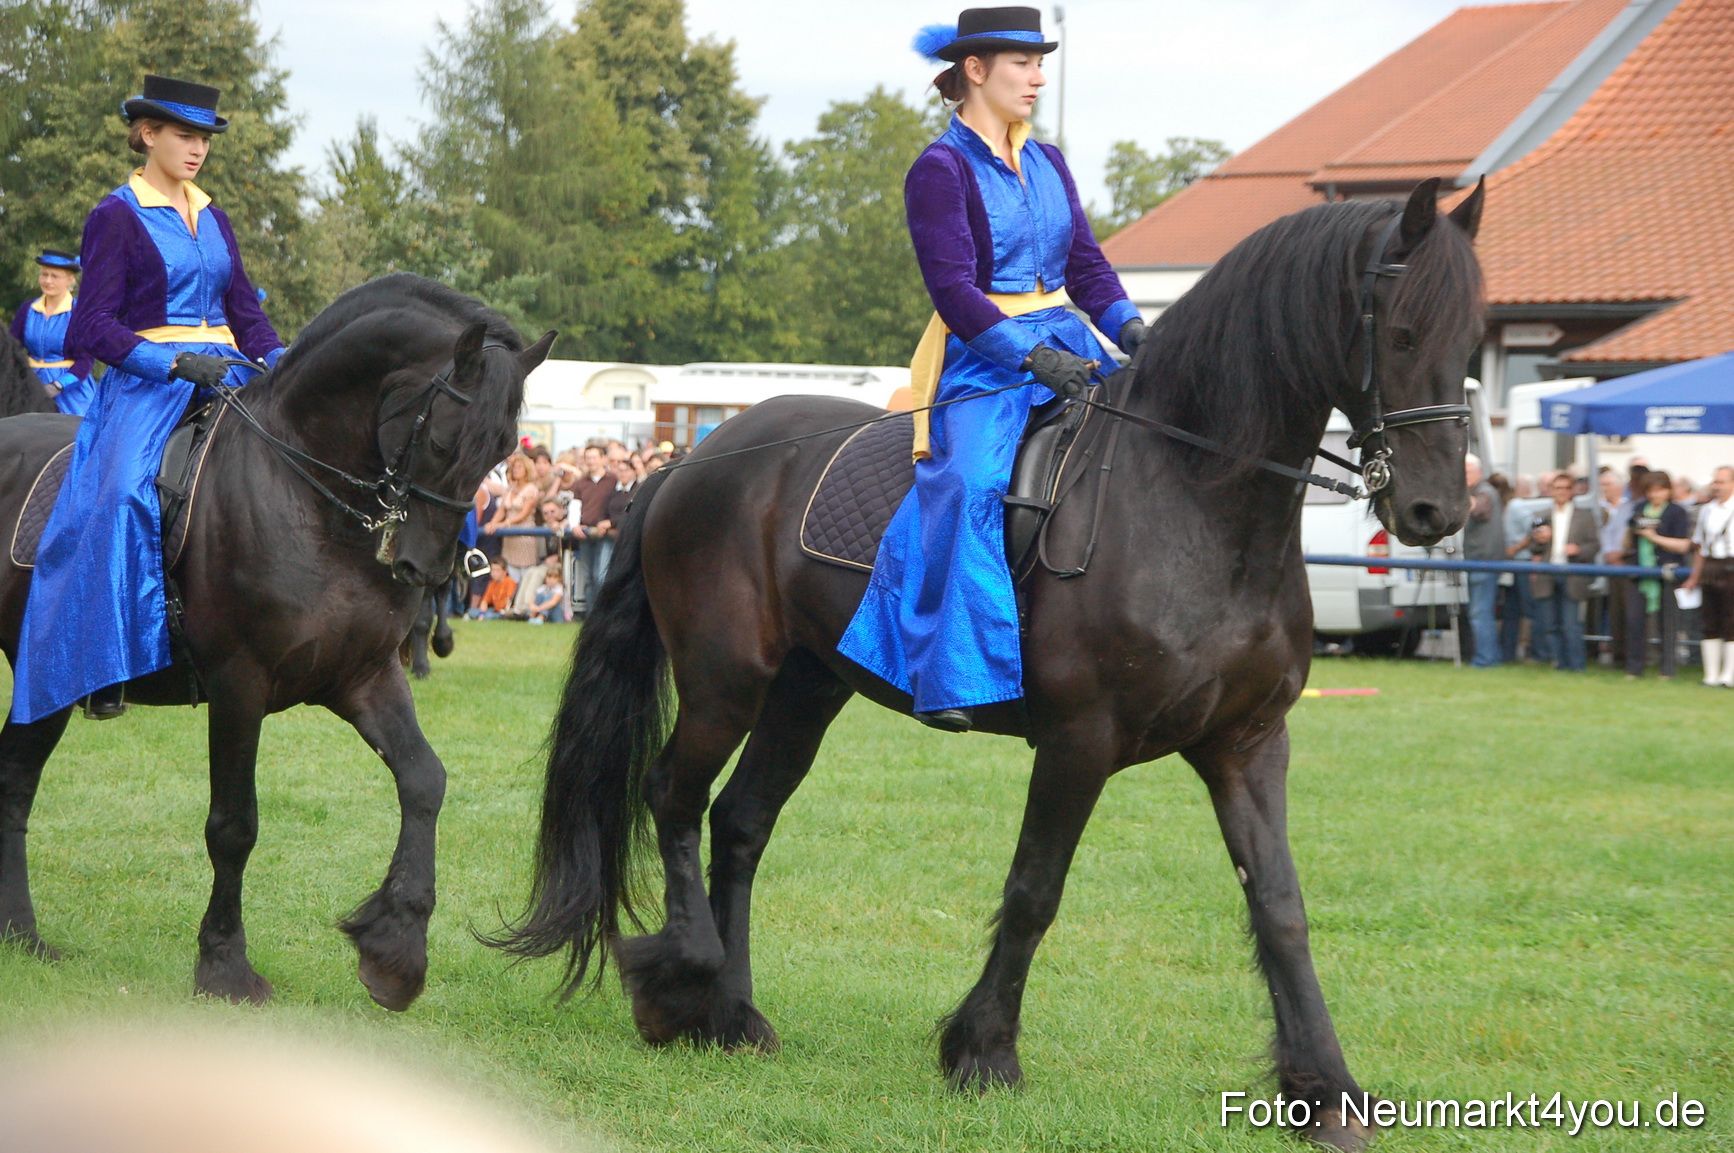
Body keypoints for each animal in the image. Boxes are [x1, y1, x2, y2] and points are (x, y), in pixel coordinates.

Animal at [0, 273, 554, 1010]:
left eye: (501, 451)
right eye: (441, 440)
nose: (428, 569)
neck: (305, 495)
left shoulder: (363, 676)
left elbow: (424, 780)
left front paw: (394, 949)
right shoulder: (240, 684)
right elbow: (234, 824)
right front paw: (225, 964)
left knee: (14, 778)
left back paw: (20, 932)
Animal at [494, 180, 1484, 1148]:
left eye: (1472, 338)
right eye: (1400, 334)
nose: (1435, 511)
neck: (1190, 498)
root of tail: (688, 460)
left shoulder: (1247, 743)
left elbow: (1279, 905)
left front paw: (1326, 1091)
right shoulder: (1081, 740)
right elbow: (1035, 889)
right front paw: (983, 1052)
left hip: (807, 690)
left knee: (740, 821)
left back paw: (736, 1013)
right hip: (724, 681)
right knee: (675, 797)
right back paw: (683, 989)